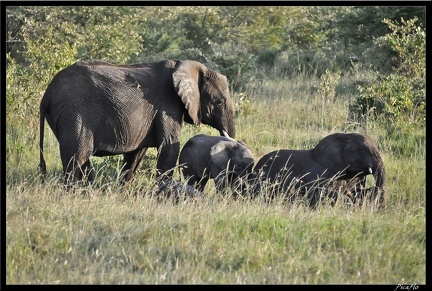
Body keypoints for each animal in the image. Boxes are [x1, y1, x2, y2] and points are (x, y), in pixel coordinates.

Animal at [39, 60, 236, 185]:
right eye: (219, 102)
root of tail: (47, 95)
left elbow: (136, 154)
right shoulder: (168, 105)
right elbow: (169, 147)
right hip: (74, 114)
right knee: (77, 157)